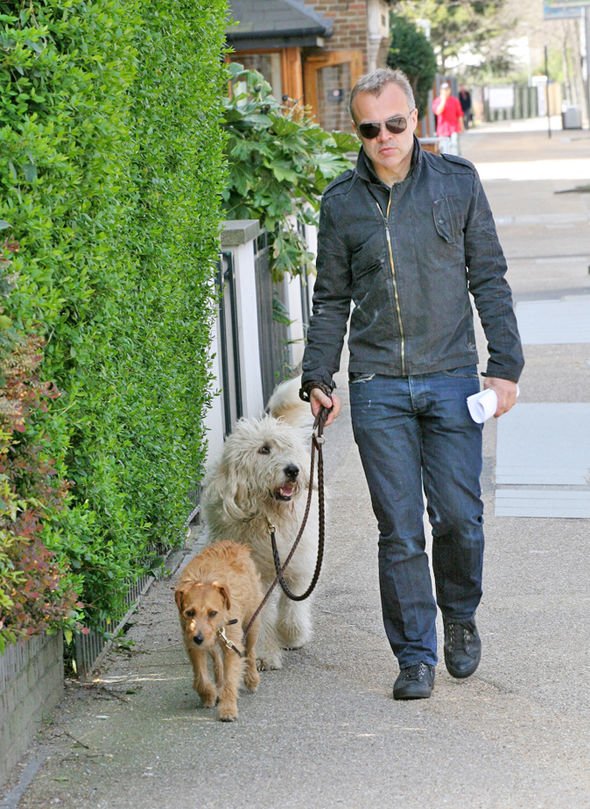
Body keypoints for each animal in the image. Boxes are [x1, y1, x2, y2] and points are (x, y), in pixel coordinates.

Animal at [175, 544, 264, 720]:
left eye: (213, 613)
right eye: (189, 613)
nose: (198, 638)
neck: (204, 579)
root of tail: (236, 544)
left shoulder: (232, 645)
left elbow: (231, 679)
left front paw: (228, 708)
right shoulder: (193, 646)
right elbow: (201, 676)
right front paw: (209, 694)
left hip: (252, 623)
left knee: (250, 652)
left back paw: (252, 678)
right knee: (217, 659)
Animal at [202, 378, 320, 668]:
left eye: (288, 449)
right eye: (264, 449)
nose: (293, 470)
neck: (269, 520)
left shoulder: (297, 561)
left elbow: (293, 605)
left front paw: (292, 635)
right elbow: (260, 615)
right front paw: (264, 654)